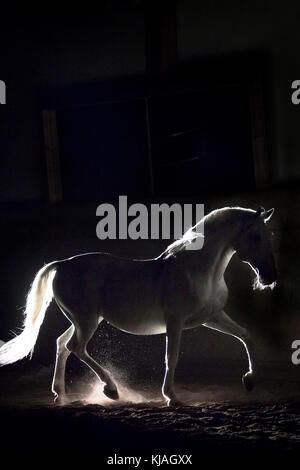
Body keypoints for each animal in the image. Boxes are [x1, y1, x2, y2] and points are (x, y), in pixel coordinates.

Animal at [0, 206, 276, 404]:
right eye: (255, 236)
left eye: (268, 236)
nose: (269, 277)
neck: (199, 271)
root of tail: (62, 263)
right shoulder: (175, 322)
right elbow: (171, 357)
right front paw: (171, 397)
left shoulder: (212, 317)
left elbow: (246, 335)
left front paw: (250, 381)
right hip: (86, 321)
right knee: (75, 347)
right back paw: (111, 390)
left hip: (85, 319)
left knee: (62, 344)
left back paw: (60, 394)